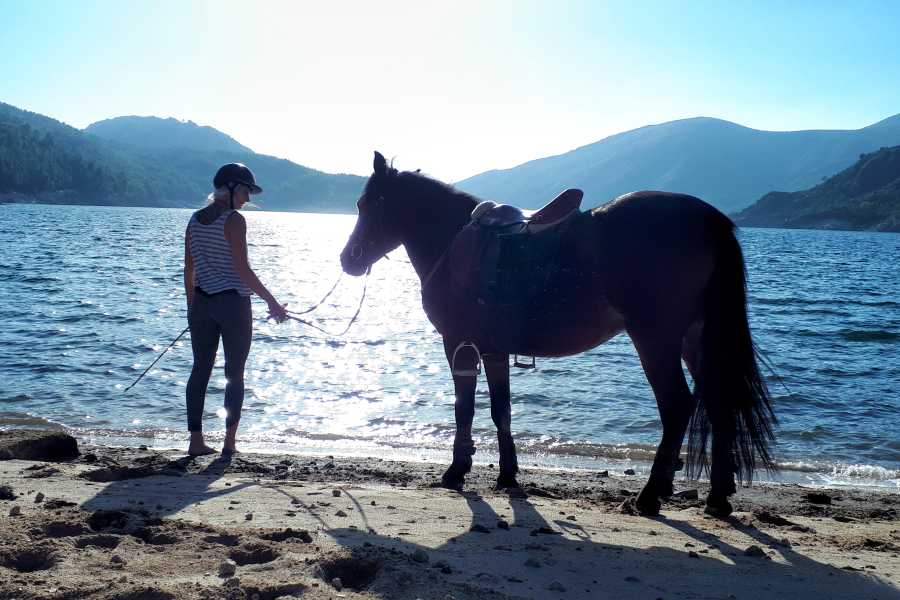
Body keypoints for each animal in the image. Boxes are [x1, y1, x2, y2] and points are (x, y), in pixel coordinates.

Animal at [340, 151, 776, 518]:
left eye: (367, 204)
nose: (348, 259)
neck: (451, 240)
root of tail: (707, 219)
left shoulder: (459, 345)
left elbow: (465, 408)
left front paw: (457, 470)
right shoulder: (494, 349)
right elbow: (501, 410)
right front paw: (508, 473)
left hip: (656, 338)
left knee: (677, 406)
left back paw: (651, 495)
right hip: (695, 339)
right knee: (719, 405)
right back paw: (717, 497)